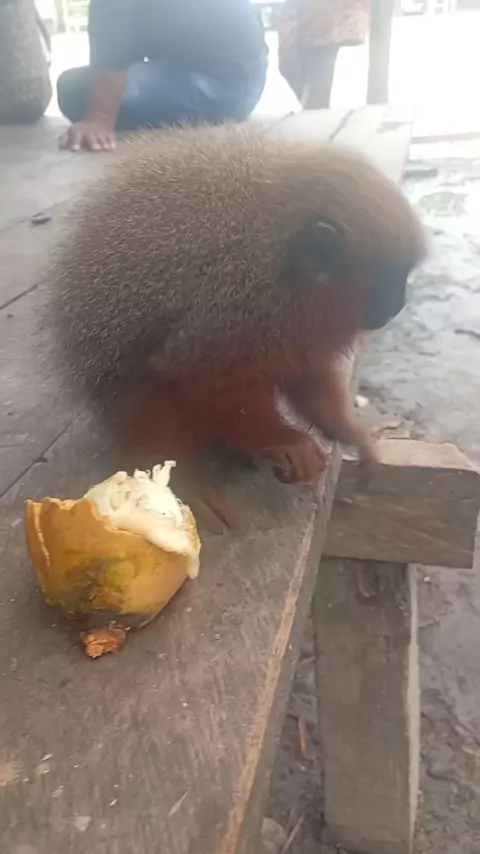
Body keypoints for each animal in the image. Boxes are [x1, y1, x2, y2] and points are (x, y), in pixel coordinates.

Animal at [43, 122, 425, 517]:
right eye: (387, 282)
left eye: (401, 278)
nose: (397, 305)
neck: (285, 269)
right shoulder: (236, 307)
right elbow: (192, 375)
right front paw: (279, 436)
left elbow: (306, 373)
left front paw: (347, 430)